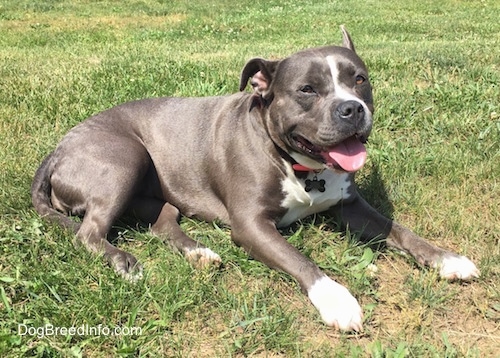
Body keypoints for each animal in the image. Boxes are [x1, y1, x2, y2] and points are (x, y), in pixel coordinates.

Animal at [32, 26, 480, 332]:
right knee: (88, 233)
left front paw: (447, 258)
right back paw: (125, 262)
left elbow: (398, 229)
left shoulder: (351, 207)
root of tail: (57, 148)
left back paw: (199, 253)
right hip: (124, 158)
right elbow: (300, 259)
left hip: (153, 191)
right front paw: (337, 299)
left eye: (360, 80)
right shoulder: (251, 226)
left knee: (163, 220)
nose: (352, 108)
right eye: (307, 90)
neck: (300, 166)